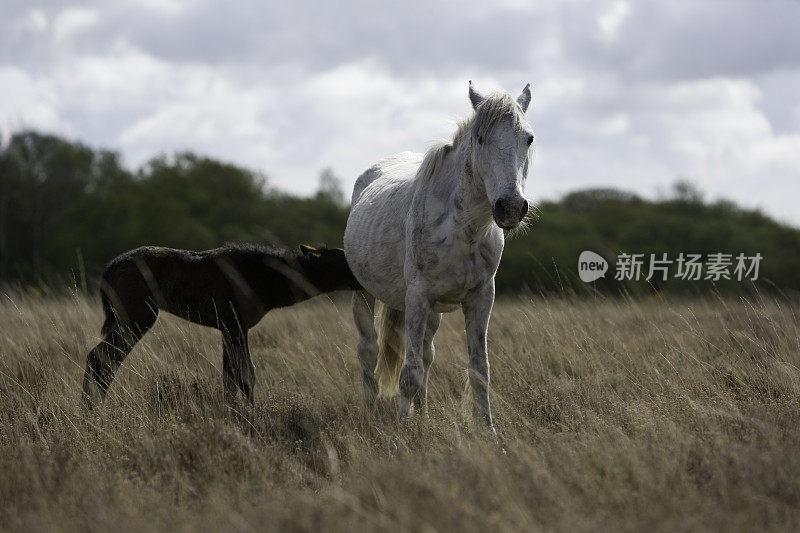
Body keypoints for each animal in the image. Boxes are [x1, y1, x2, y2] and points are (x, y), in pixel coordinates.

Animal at [342, 82, 536, 432]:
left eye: (528, 138)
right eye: (480, 138)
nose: (511, 207)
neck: (463, 228)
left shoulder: (481, 299)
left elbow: (479, 370)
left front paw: (488, 431)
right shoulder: (417, 297)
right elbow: (409, 373)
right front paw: (402, 432)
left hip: (433, 312)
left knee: (427, 355)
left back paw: (423, 417)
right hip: (364, 295)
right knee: (368, 352)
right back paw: (371, 417)